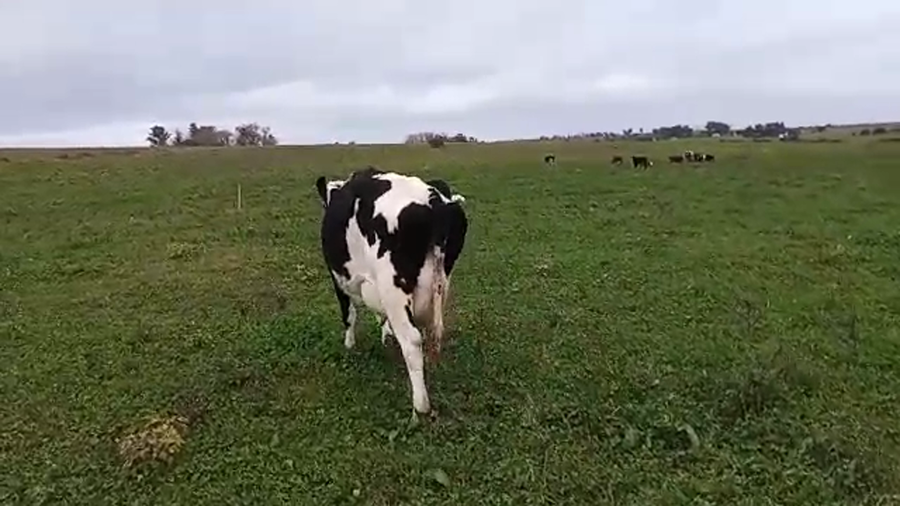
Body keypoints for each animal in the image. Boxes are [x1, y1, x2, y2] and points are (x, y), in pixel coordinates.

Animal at [315, 166, 468, 415]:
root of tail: (433, 201)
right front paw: (385, 335)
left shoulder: (338, 279)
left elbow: (349, 315)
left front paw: (349, 345)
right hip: (441, 282)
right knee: (434, 331)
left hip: (394, 288)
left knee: (412, 340)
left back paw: (420, 406)